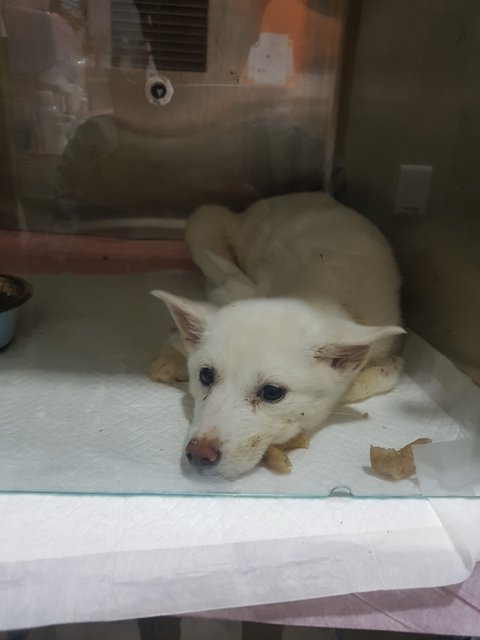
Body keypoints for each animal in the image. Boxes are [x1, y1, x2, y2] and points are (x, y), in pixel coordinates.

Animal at [150, 192, 405, 478]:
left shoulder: (389, 337)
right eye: (205, 375)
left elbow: (389, 372)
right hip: (205, 220)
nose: (198, 454)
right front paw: (175, 347)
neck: (326, 294)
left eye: (272, 393)